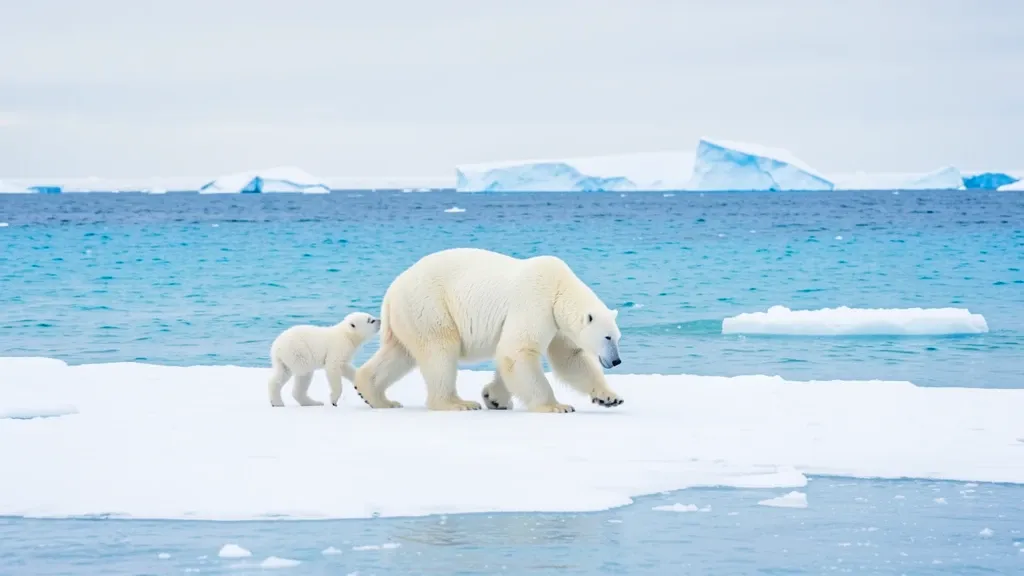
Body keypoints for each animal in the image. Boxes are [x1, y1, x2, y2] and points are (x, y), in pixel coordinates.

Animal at [353, 247, 624, 413]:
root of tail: (392, 291)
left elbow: (569, 358)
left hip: (409, 316)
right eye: (607, 337)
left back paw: (375, 395)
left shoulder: (556, 324)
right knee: (439, 349)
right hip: (429, 306)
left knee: (399, 353)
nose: (617, 361)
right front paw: (556, 406)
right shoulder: (535, 303)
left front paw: (610, 397)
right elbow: (518, 350)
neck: (559, 287)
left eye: (618, 337)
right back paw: (457, 403)